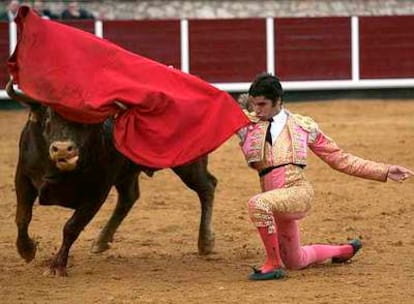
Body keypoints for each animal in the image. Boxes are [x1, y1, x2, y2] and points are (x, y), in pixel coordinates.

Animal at [6, 82, 218, 276]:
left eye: (86, 120)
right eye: (48, 116)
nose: (63, 149)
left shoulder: (97, 192)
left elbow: (71, 227)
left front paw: (57, 266)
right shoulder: (23, 177)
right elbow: (23, 216)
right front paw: (26, 249)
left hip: (188, 162)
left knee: (207, 186)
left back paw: (205, 241)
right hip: (127, 172)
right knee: (129, 197)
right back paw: (101, 240)